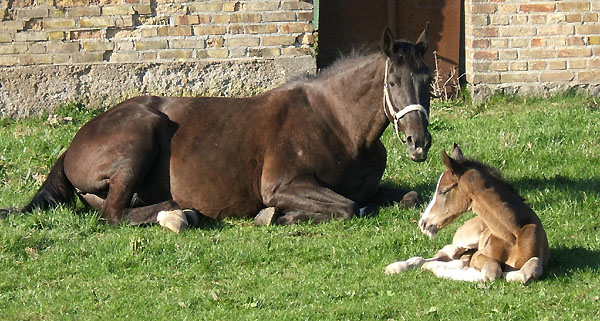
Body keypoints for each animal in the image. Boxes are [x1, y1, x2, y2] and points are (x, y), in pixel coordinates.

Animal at [1, 26, 432, 230]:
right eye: (393, 81)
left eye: (427, 80)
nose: (419, 143)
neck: (337, 124)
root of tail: (72, 146)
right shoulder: (284, 185)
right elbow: (346, 208)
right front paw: (274, 216)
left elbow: (404, 197)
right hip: (139, 135)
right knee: (115, 214)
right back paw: (181, 214)